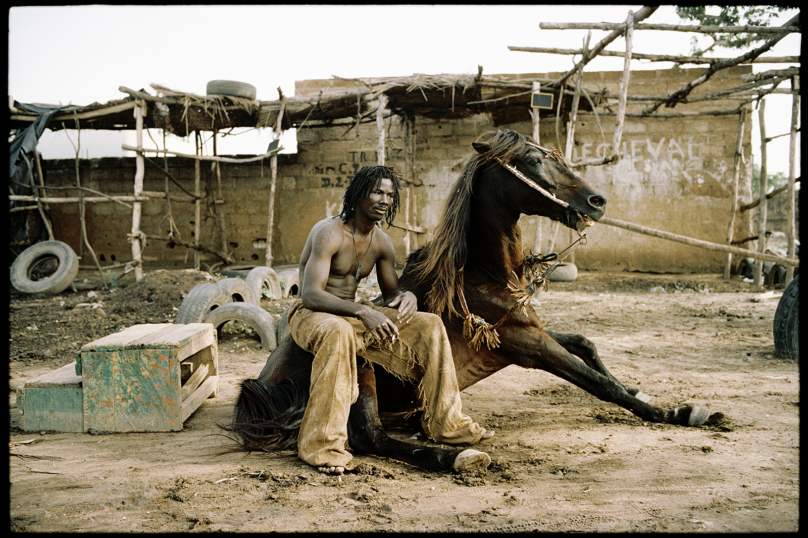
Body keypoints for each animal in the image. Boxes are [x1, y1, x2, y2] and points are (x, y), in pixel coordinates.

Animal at [226, 129, 708, 468]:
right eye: (534, 160)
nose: (596, 201)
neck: (482, 274)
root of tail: (265, 383)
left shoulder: (528, 333)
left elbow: (586, 345)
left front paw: (639, 388)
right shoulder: (530, 347)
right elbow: (598, 383)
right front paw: (678, 412)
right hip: (361, 371)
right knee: (368, 437)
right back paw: (456, 456)